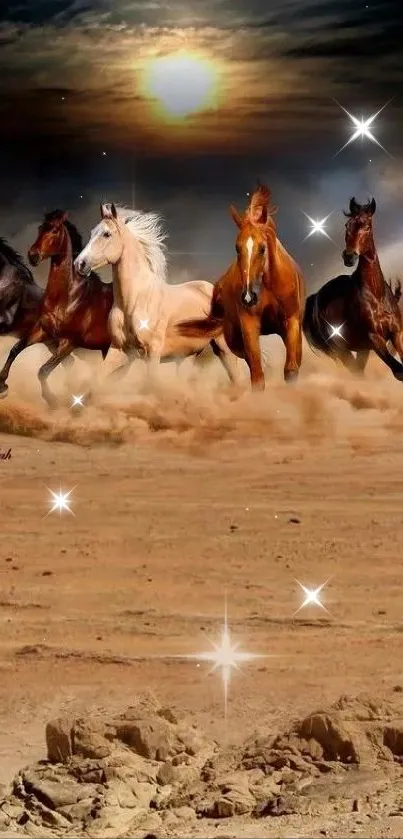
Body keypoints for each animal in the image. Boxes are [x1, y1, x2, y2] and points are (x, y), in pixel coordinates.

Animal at [0, 209, 113, 406]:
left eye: (54, 230)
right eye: (40, 229)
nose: (33, 255)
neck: (68, 297)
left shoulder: (69, 342)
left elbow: (43, 370)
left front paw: (51, 400)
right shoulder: (43, 331)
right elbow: (16, 349)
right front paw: (2, 384)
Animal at [73, 203, 240, 388]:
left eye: (106, 234)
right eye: (92, 232)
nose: (79, 264)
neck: (133, 302)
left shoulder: (152, 352)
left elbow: (152, 384)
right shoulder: (118, 350)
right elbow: (97, 380)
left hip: (223, 347)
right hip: (187, 356)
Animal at [177, 183, 306, 390]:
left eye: (262, 248)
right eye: (237, 248)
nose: (248, 297)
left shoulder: (291, 321)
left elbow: (291, 370)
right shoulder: (249, 324)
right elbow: (257, 375)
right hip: (232, 337)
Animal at [304, 197, 403, 380]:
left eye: (366, 226)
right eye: (347, 225)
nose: (349, 256)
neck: (376, 294)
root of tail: (316, 297)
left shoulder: (396, 335)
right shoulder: (375, 339)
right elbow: (399, 370)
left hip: (362, 350)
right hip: (341, 350)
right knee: (355, 371)